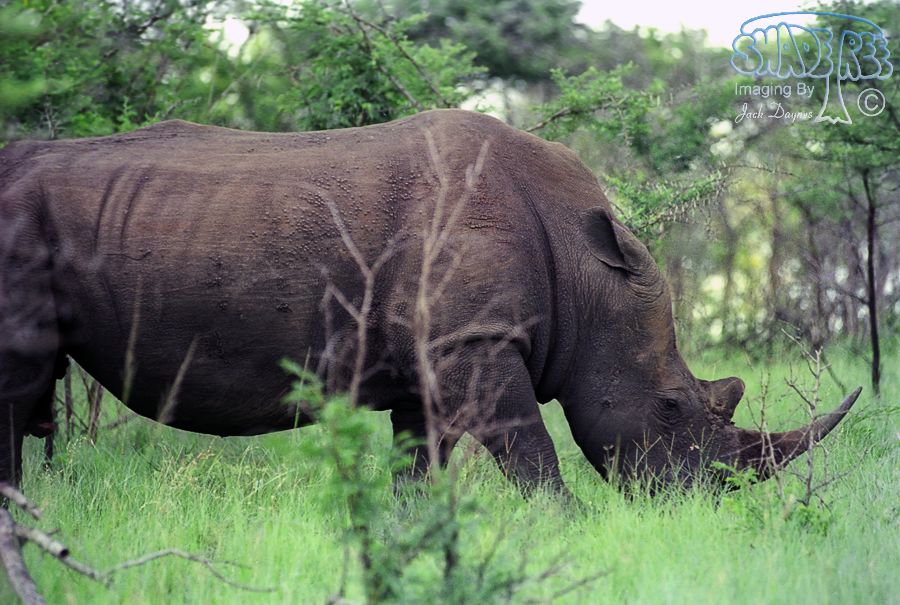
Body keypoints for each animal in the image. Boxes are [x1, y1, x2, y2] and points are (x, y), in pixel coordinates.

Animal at [0, 109, 860, 493]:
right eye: (675, 407)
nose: (706, 502)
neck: (587, 272)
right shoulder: (475, 344)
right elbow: (534, 456)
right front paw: (568, 527)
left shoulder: (432, 357)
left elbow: (421, 469)